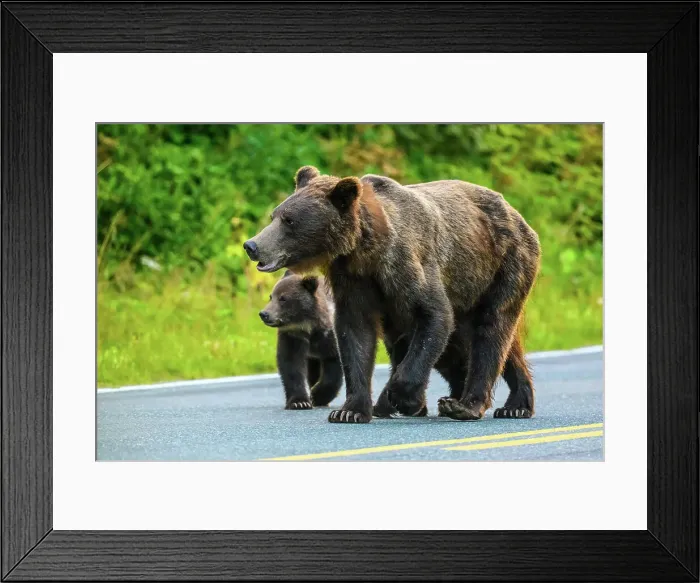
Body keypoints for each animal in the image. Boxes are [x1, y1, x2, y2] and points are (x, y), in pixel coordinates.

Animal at [258, 270, 343, 410]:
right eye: (271, 296)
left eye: (283, 298)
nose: (264, 314)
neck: (308, 327)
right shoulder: (292, 336)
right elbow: (292, 365)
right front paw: (300, 402)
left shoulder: (329, 338)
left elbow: (333, 366)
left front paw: (316, 396)